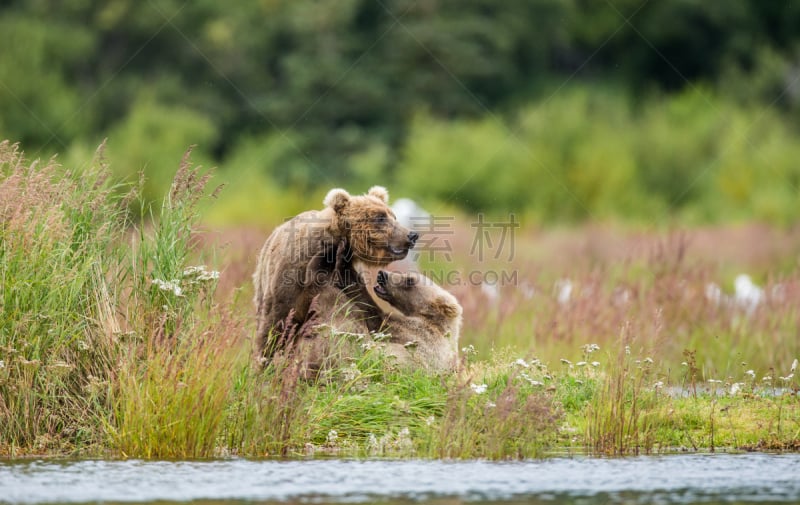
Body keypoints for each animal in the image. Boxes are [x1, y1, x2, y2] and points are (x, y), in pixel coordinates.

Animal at [253, 187, 418, 360]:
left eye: (393, 216)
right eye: (380, 217)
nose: (411, 235)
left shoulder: (343, 275)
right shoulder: (291, 276)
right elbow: (274, 324)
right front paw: (264, 359)